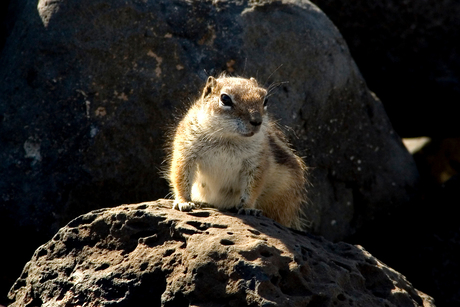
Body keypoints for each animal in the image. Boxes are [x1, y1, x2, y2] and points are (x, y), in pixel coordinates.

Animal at [167, 74, 308, 230]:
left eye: (265, 100)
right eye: (225, 99)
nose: (257, 121)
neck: (228, 138)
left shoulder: (257, 161)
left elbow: (254, 186)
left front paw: (248, 208)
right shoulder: (186, 150)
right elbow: (180, 176)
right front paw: (183, 202)